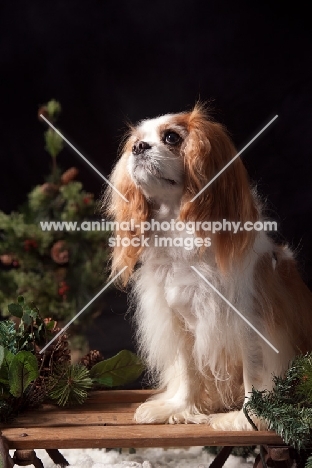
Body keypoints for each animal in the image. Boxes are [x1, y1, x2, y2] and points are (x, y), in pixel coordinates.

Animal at [102, 104, 312, 430]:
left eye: (171, 137)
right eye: (135, 141)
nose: (139, 147)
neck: (179, 226)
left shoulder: (251, 324)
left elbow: (254, 373)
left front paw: (247, 419)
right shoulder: (181, 324)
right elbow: (188, 372)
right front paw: (180, 408)